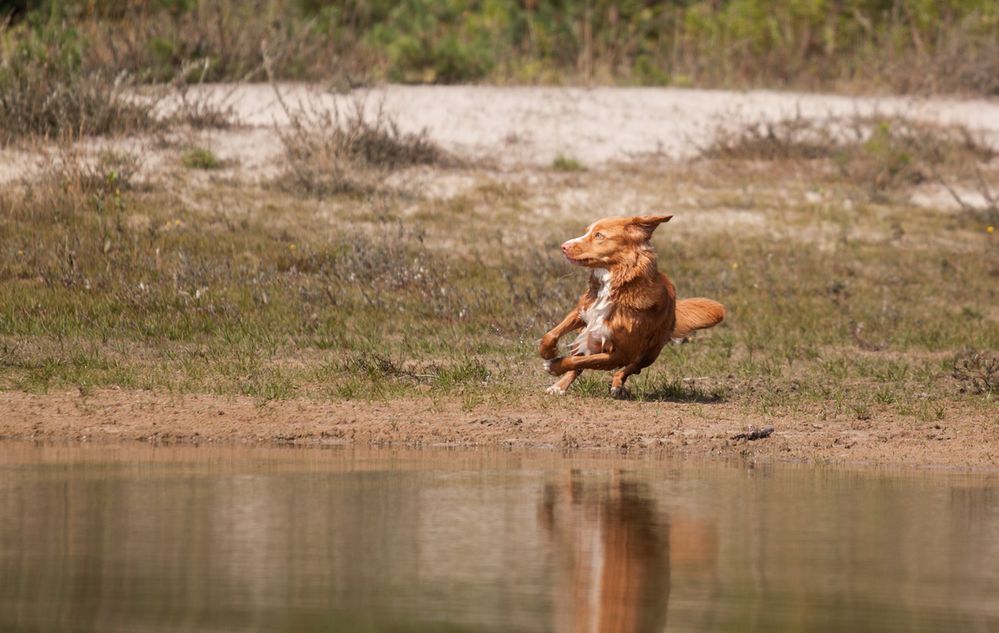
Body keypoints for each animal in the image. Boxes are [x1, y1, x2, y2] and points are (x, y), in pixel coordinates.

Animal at [540, 215, 728, 398]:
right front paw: (548, 353)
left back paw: (617, 385)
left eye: (599, 235)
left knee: (631, 368)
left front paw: (554, 366)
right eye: (587, 232)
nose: (563, 246)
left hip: (650, 352)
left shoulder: (621, 353)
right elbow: (551, 335)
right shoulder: (584, 312)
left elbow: (585, 361)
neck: (616, 284)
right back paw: (559, 386)